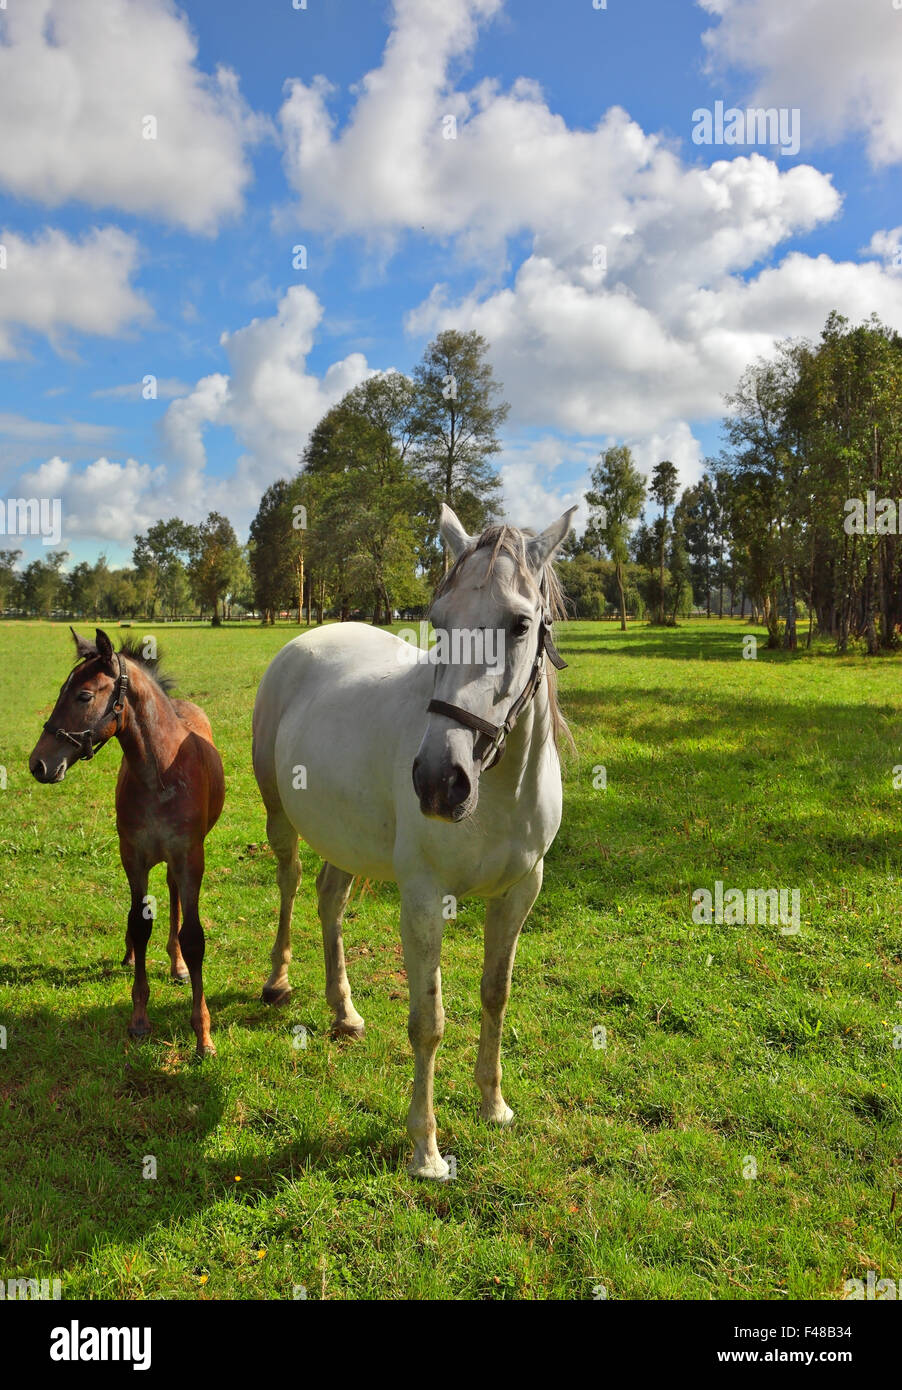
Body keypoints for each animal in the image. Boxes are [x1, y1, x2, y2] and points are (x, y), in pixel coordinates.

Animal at [29, 628, 225, 1058]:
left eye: (83, 695)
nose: (38, 764)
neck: (159, 773)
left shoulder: (190, 858)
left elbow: (194, 938)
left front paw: (203, 1036)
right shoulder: (133, 857)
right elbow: (139, 924)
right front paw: (139, 1019)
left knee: (173, 895)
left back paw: (177, 965)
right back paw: (134, 953)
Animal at [252, 503, 575, 1177]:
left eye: (520, 624)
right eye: (439, 621)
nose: (437, 781)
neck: (497, 789)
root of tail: (307, 638)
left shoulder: (520, 892)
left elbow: (496, 995)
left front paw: (493, 1106)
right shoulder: (425, 899)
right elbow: (428, 1021)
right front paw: (425, 1150)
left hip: (344, 840)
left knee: (330, 900)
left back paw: (344, 1013)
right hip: (280, 820)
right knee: (290, 884)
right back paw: (278, 981)